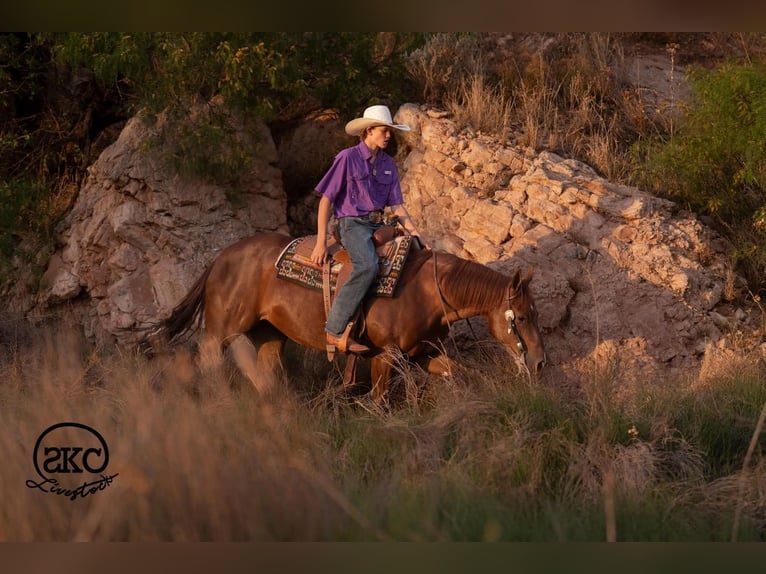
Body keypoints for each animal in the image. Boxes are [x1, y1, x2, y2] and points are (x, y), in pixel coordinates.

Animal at [155, 231, 547, 403]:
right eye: (522, 316)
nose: (540, 362)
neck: (428, 292)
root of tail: (221, 257)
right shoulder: (385, 355)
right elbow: (378, 401)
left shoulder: (422, 355)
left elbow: (457, 372)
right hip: (222, 330)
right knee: (208, 362)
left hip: (269, 335)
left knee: (264, 376)